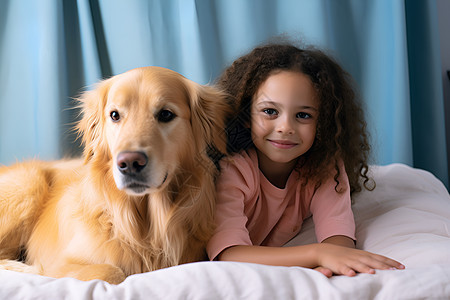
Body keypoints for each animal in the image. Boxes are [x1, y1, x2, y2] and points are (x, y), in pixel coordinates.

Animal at [0, 67, 230, 284]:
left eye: (166, 114)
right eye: (114, 115)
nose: (130, 163)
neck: (146, 231)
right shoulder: (61, 263)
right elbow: (112, 271)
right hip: (28, 183)